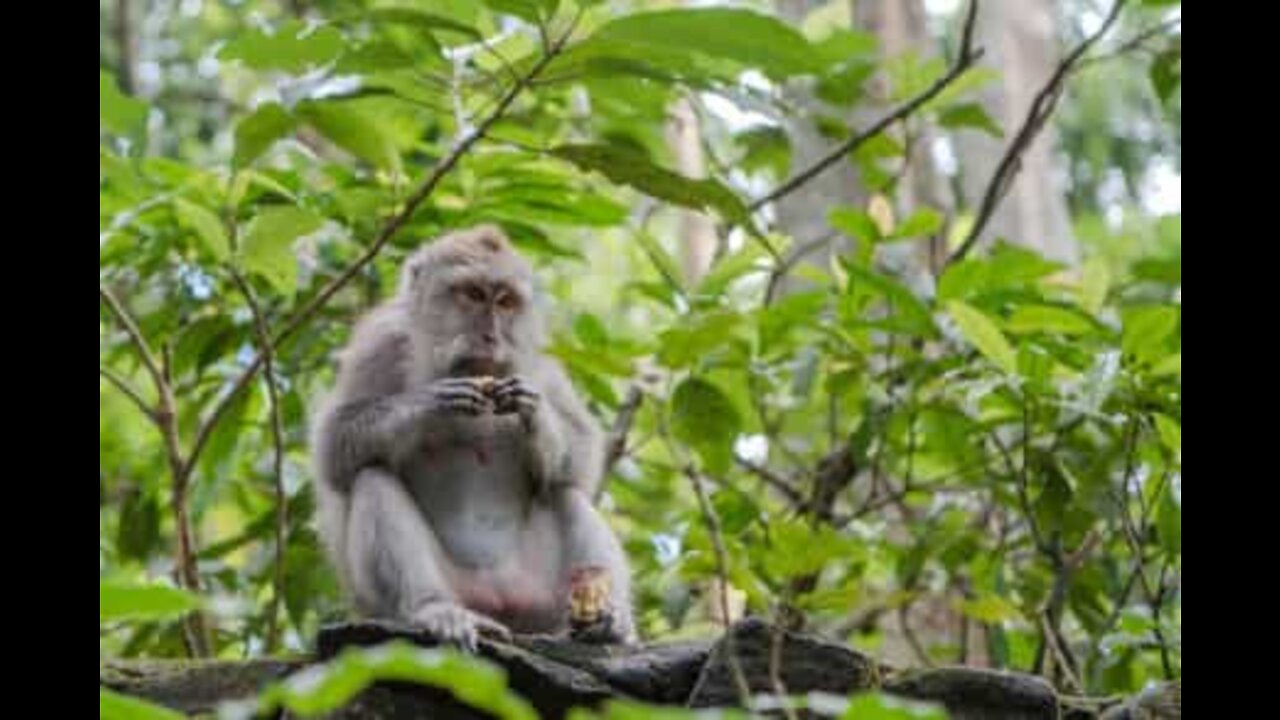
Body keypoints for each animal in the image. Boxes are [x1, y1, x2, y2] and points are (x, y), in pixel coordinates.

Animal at [307, 221, 632, 648]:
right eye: (474, 294)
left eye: (506, 301)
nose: (491, 338)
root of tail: (497, 603)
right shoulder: (381, 342)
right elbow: (335, 445)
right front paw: (432, 403)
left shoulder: (539, 358)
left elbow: (581, 455)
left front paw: (536, 413)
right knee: (372, 476)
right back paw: (433, 608)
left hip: (539, 602)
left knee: (565, 492)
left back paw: (609, 624)